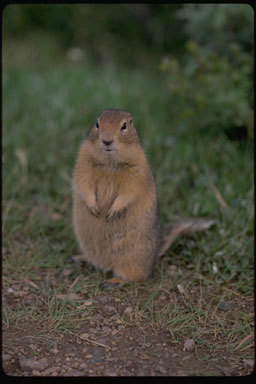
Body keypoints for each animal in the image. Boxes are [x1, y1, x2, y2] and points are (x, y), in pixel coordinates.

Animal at [72, 109, 216, 284]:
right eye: (97, 123)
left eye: (124, 126)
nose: (107, 141)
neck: (109, 162)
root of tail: (155, 253)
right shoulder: (83, 162)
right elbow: (84, 183)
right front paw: (93, 207)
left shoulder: (137, 171)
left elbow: (129, 192)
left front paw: (113, 211)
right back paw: (80, 258)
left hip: (131, 257)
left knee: (136, 277)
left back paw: (114, 281)